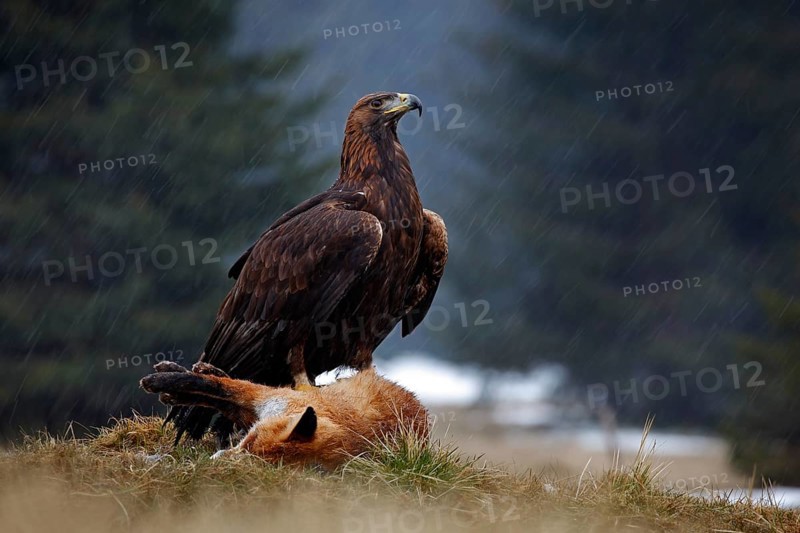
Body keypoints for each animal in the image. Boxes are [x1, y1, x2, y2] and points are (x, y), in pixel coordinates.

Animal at [140, 361, 429, 469]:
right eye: (249, 442)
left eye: (251, 455)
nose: (216, 461)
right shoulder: (267, 400)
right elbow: (215, 386)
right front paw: (162, 380)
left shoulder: (263, 404)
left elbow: (217, 391)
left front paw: (166, 386)